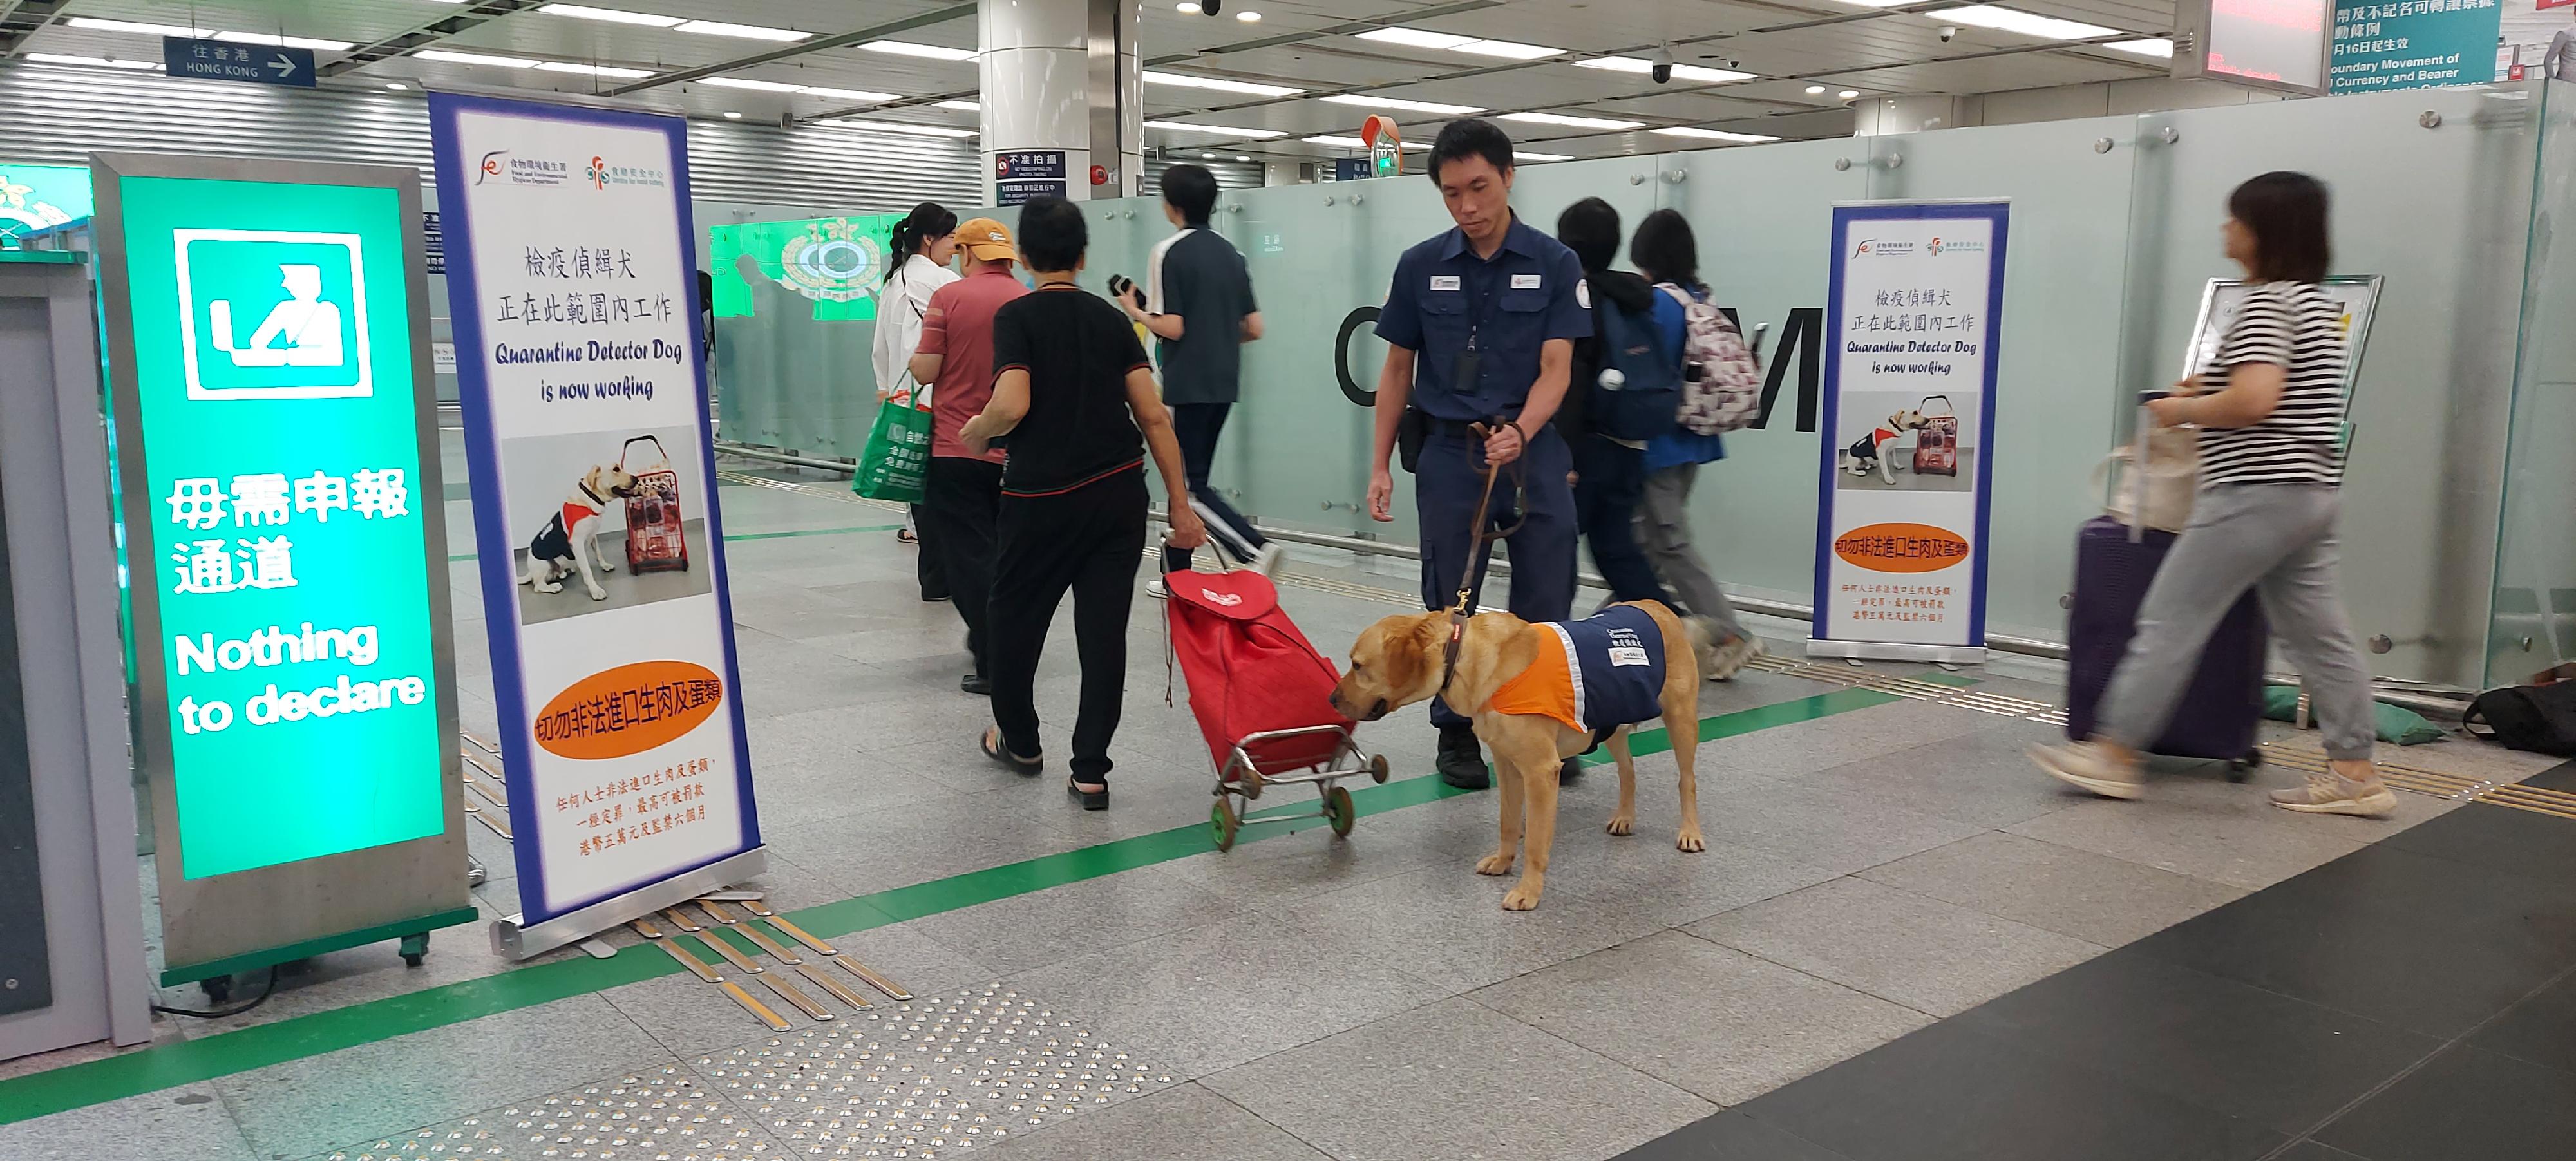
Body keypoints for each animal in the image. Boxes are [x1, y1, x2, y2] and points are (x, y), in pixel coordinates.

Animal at [1329, 605, 1710, 911]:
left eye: (1358, 665)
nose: (1332, 699)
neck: (1465, 657)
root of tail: (1658, 607)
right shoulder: (1506, 763)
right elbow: (1508, 822)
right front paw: (1503, 861)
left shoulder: (1541, 771)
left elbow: (1537, 844)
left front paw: (1529, 891)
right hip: (1611, 722)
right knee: (1628, 772)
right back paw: (1625, 817)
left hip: (1680, 718)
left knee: (1688, 780)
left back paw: (1690, 832)